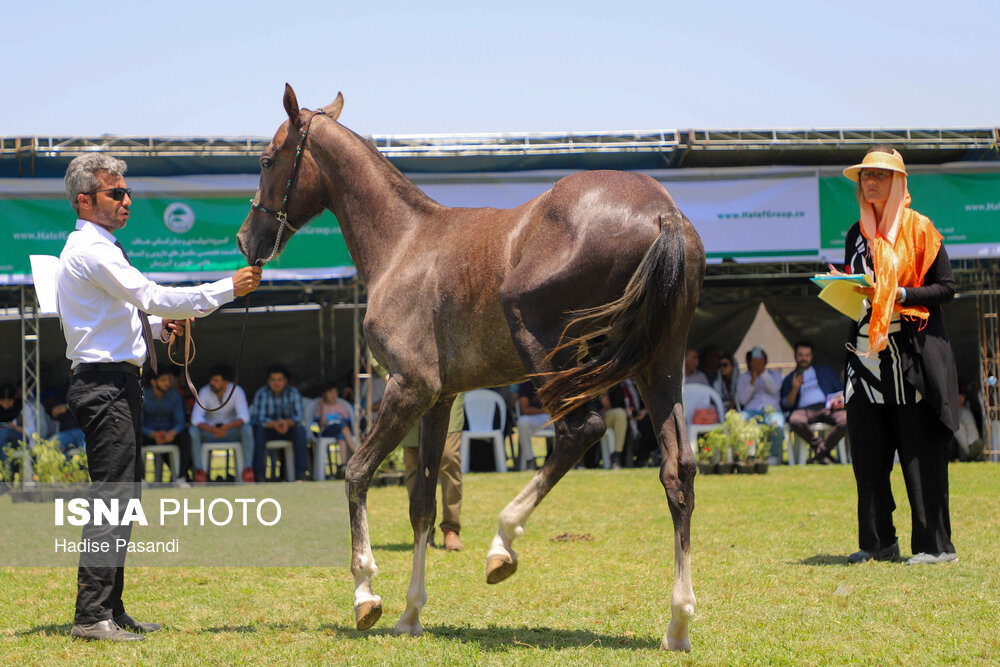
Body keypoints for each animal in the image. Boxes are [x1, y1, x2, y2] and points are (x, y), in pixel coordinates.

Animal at [236, 85, 704, 652]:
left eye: (266, 160)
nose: (246, 241)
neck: (404, 243)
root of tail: (663, 213)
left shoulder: (409, 388)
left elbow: (357, 472)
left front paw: (366, 594)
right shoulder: (437, 399)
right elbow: (421, 504)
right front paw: (410, 614)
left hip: (542, 342)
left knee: (581, 431)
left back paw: (503, 544)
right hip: (659, 367)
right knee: (678, 470)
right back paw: (678, 621)